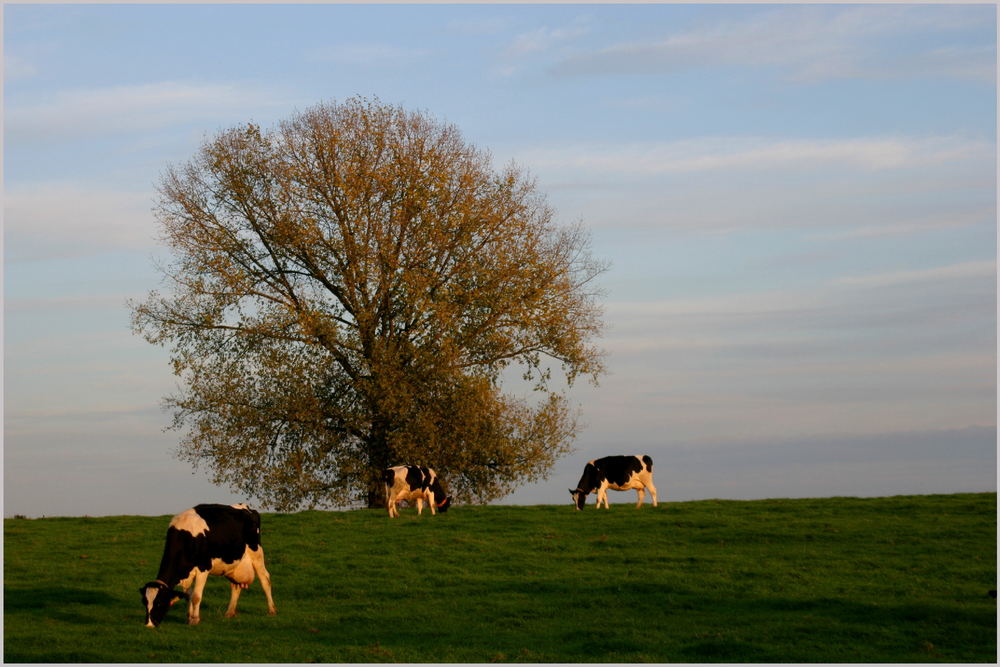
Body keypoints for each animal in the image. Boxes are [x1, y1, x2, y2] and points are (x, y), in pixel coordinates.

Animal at [139, 504, 276, 628]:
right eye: (144, 602)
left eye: (159, 603)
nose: (149, 625)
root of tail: (246, 508)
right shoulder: (187, 573)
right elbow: (188, 596)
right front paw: (189, 617)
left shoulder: (203, 568)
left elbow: (196, 596)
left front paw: (195, 619)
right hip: (234, 565)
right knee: (235, 586)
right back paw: (229, 612)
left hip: (256, 553)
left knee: (265, 579)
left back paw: (272, 610)